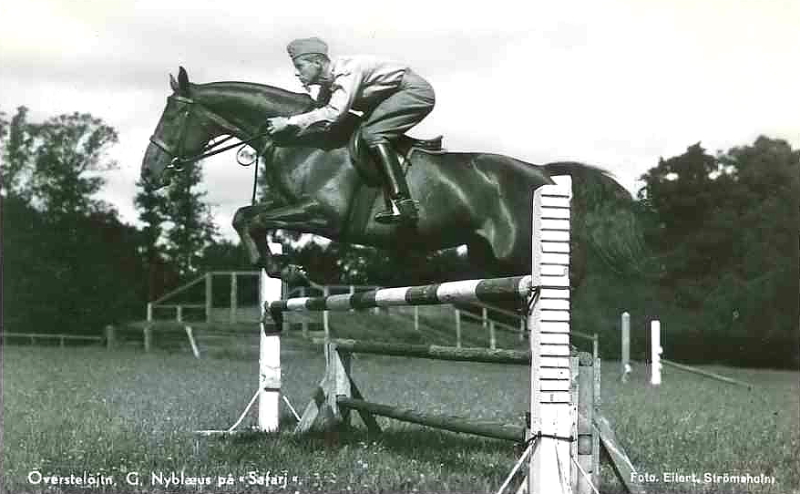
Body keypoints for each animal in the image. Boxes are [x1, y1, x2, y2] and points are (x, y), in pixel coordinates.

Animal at [144, 67, 644, 288]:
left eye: (173, 116)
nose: (149, 172)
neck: (304, 140)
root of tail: (540, 171)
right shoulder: (293, 209)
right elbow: (248, 216)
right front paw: (280, 266)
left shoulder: (323, 214)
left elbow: (251, 217)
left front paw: (282, 267)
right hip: (489, 258)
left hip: (518, 249)